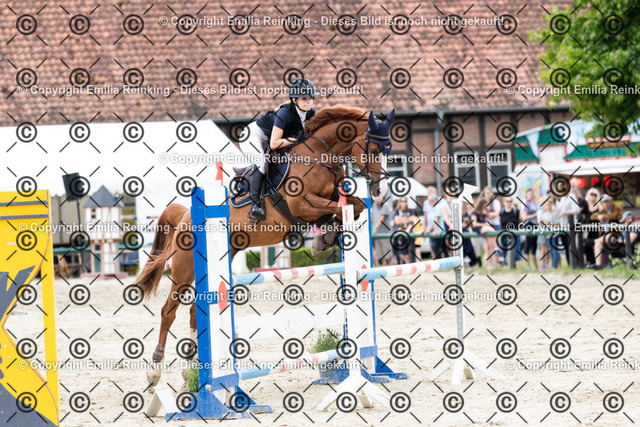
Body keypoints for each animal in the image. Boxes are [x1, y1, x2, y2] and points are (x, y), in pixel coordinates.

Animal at [134, 105, 395, 385]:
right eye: (374, 149)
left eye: (388, 151)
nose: (380, 191)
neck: (319, 156)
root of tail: (185, 214)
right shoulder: (302, 205)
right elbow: (341, 207)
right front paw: (322, 240)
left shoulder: (330, 200)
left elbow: (352, 206)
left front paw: (323, 240)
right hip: (185, 268)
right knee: (168, 312)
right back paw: (154, 371)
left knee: (195, 311)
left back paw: (191, 371)